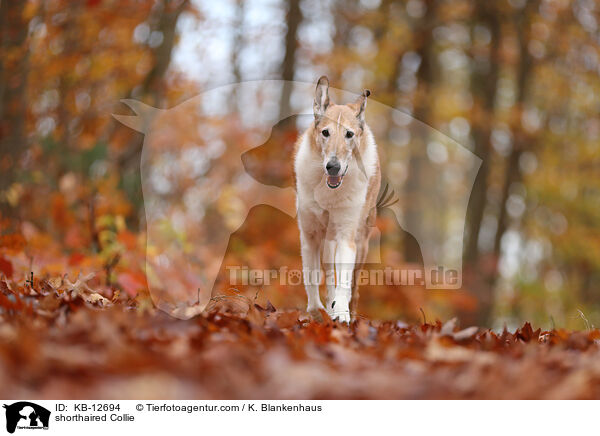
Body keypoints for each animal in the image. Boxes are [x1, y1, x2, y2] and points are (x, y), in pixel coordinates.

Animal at [294, 75, 380, 322]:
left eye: (349, 134)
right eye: (325, 132)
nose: (333, 166)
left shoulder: (345, 236)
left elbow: (344, 281)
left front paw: (341, 313)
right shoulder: (310, 235)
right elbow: (312, 277)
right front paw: (316, 311)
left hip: (361, 243)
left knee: (352, 285)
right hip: (326, 241)